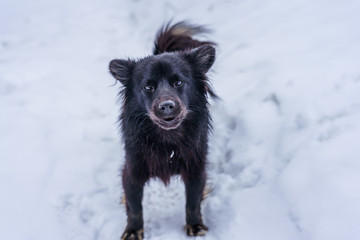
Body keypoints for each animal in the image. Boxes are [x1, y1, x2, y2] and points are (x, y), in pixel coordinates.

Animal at [109, 21, 217, 239]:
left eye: (178, 82)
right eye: (148, 87)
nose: (167, 106)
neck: (168, 141)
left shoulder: (196, 169)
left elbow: (192, 203)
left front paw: (195, 226)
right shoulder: (132, 170)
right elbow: (135, 207)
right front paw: (133, 230)